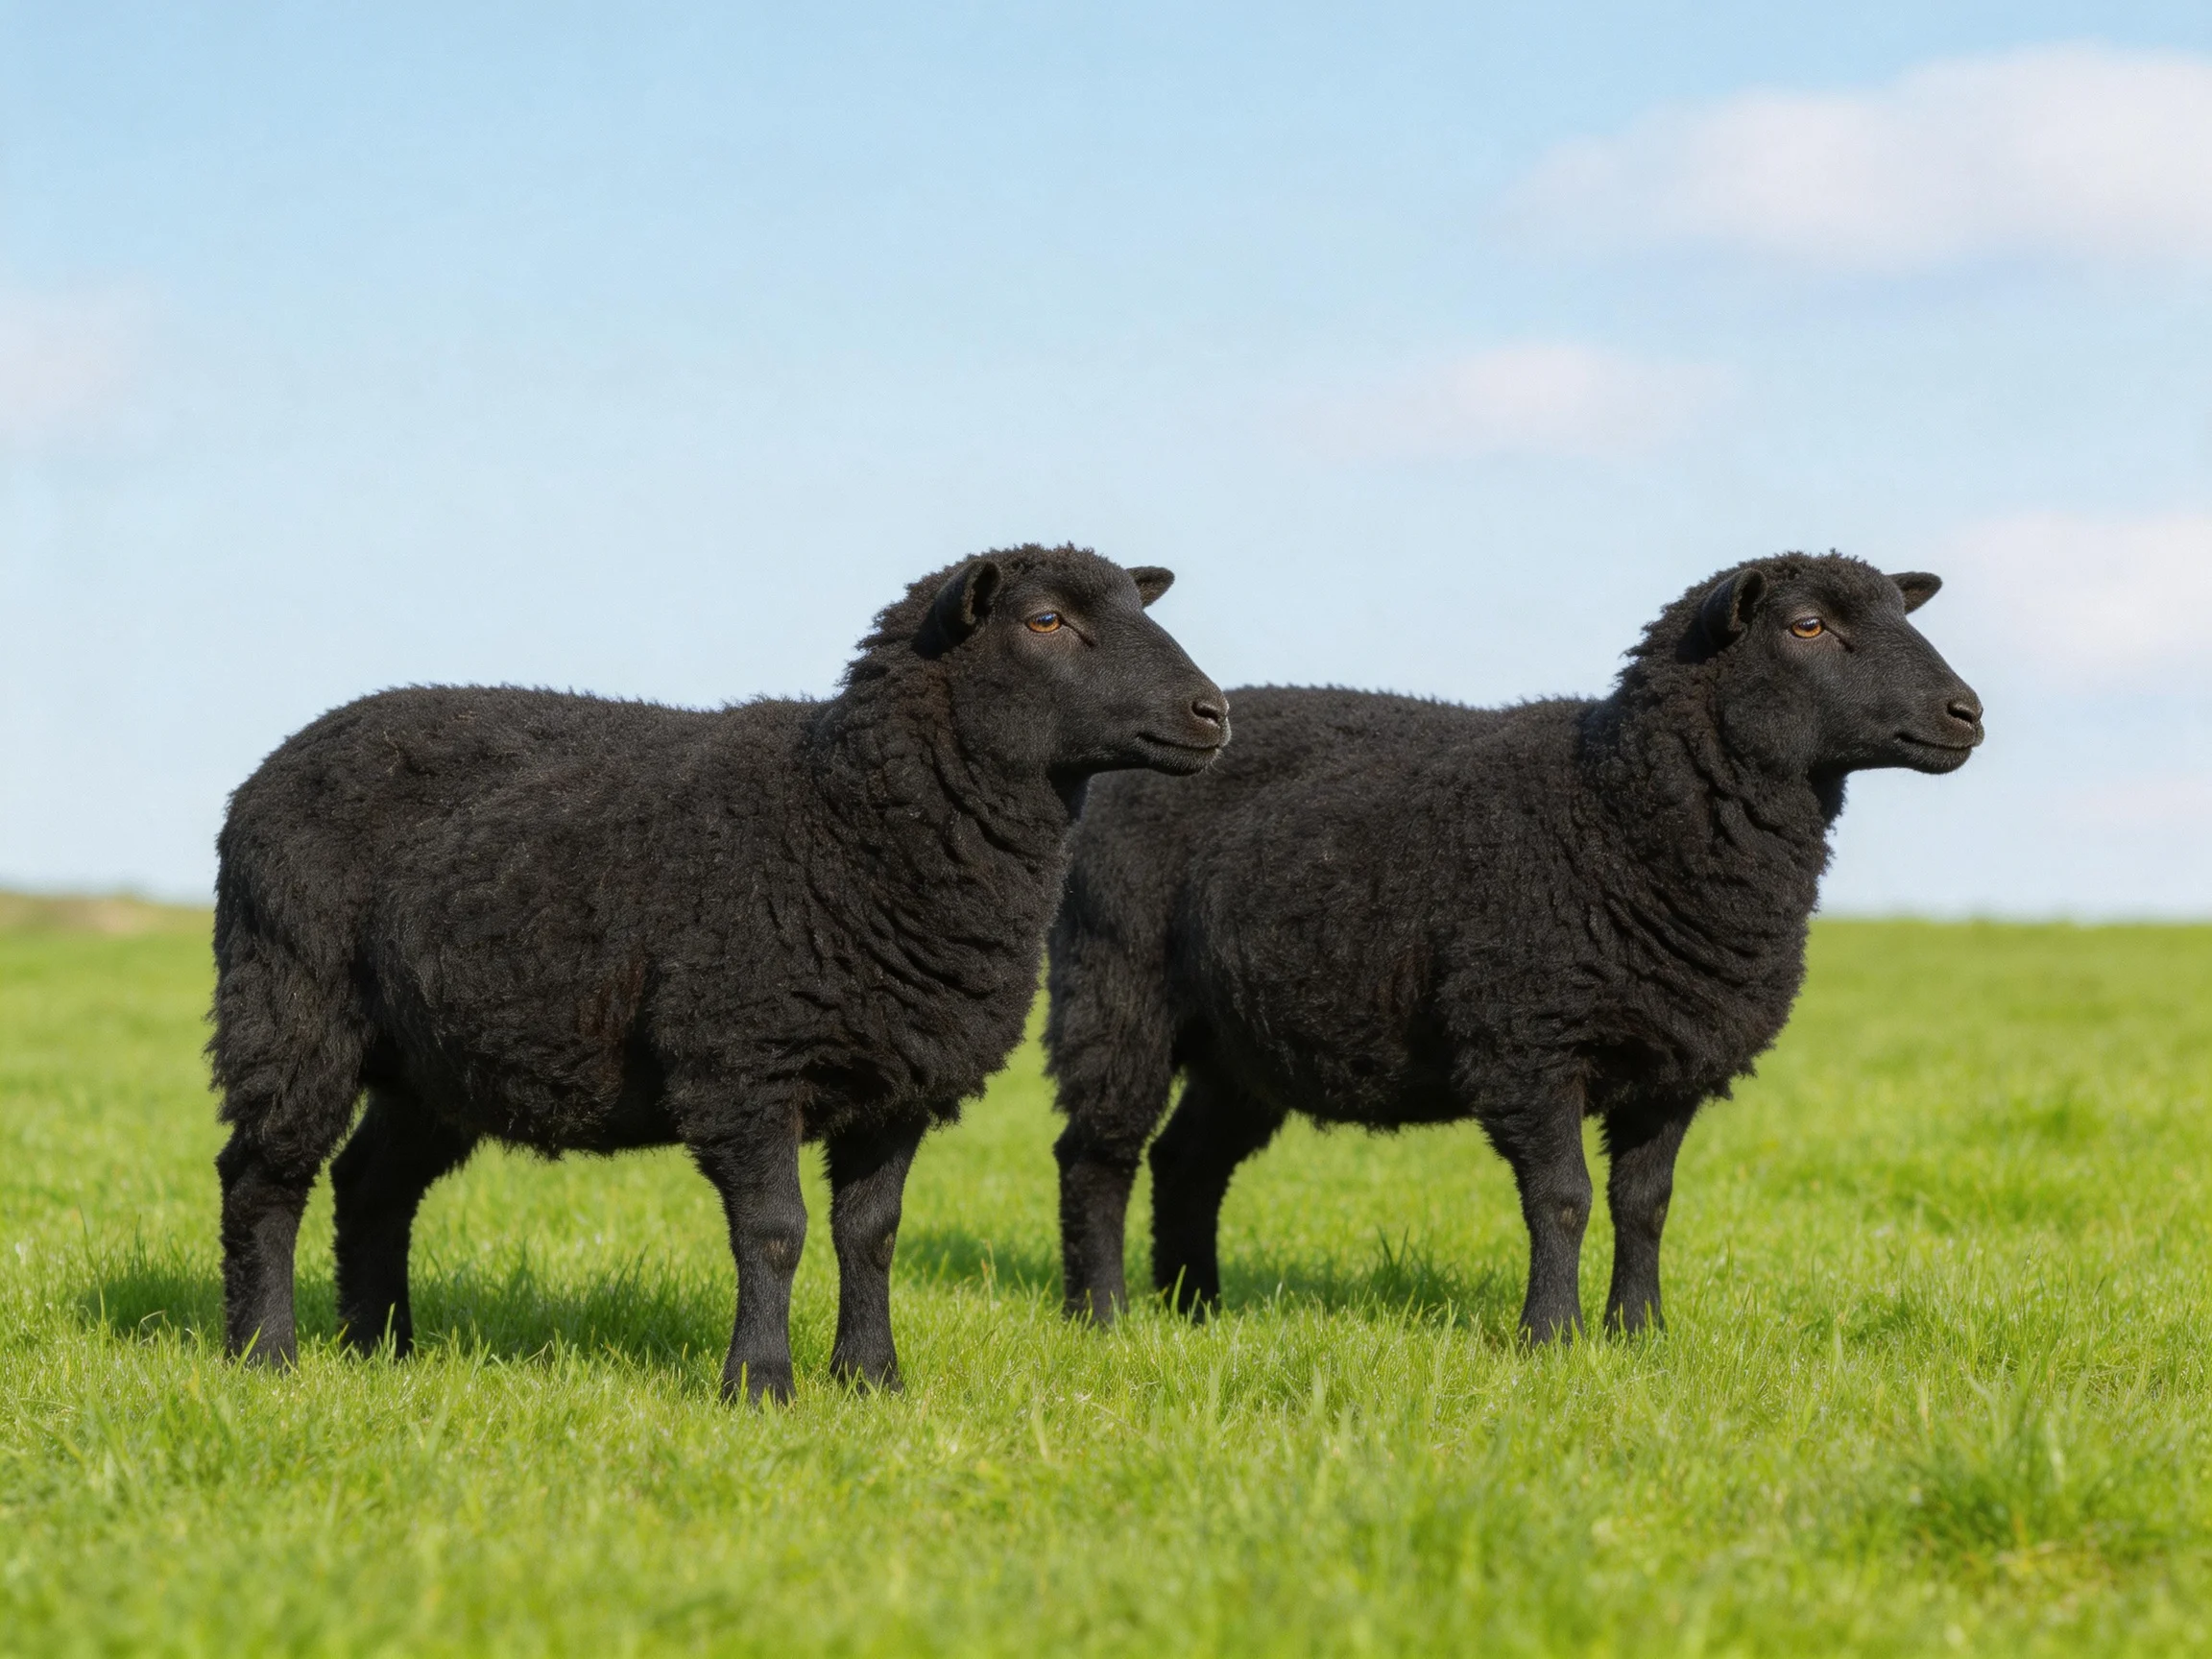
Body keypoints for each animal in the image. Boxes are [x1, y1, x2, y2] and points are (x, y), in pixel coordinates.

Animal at [210, 545, 1227, 1400]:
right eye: (1046, 619)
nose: (1214, 713)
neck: (845, 817)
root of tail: (273, 764)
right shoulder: (744, 1063)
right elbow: (775, 1233)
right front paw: (761, 1385)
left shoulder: (899, 1080)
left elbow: (872, 1235)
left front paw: (871, 1380)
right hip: (289, 1000)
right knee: (263, 1176)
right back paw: (265, 1355)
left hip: (435, 1061)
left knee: (370, 1184)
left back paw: (381, 1349)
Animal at [1045, 553, 1982, 1341]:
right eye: (1808, 626)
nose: (1967, 713)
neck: (1613, 806)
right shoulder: (1528, 1040)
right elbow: (1564, 1199)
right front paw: (1552, 1338)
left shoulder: (1674, 1061)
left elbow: (1646, 1204)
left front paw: (1640, 1334)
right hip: (1114, 983)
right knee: (1098, 1152)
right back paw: (1104, 1315)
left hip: (1244, 1041)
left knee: (1186, 1162)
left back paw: (1195, 1309)